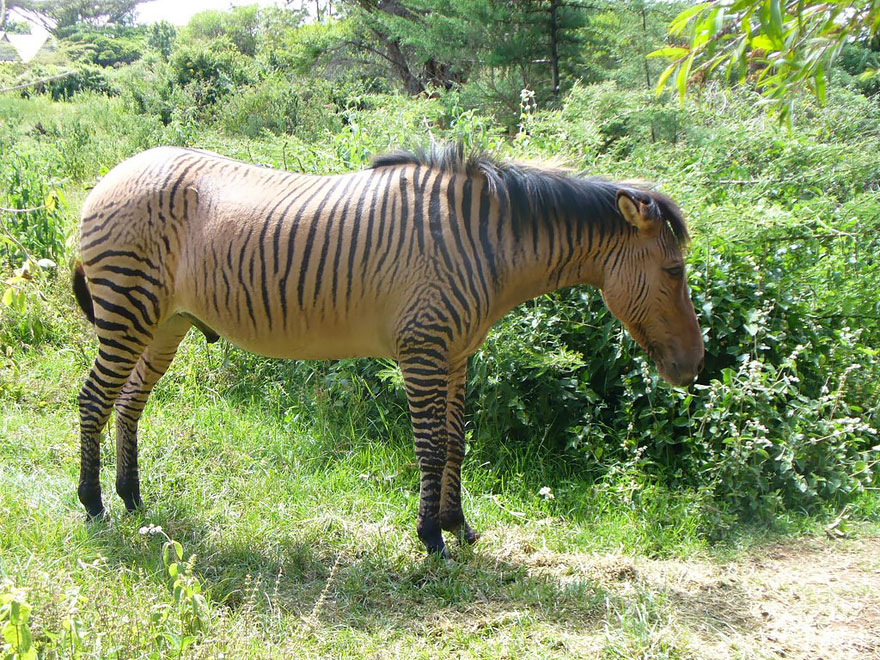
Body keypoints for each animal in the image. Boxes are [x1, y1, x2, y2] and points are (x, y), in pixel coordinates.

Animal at [72, 143, 704, 558]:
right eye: (675, 272)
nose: (696, 367)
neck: (484, 244)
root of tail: (109, 176)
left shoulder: (457, 354)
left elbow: (456, 441)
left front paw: (458, 526)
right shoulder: (422, 349)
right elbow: (430, 445)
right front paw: (431, 539)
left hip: (166, 322)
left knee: (128, 401)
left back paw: (131, 498)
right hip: (128, 310)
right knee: (94, 399)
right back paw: (94, 504)